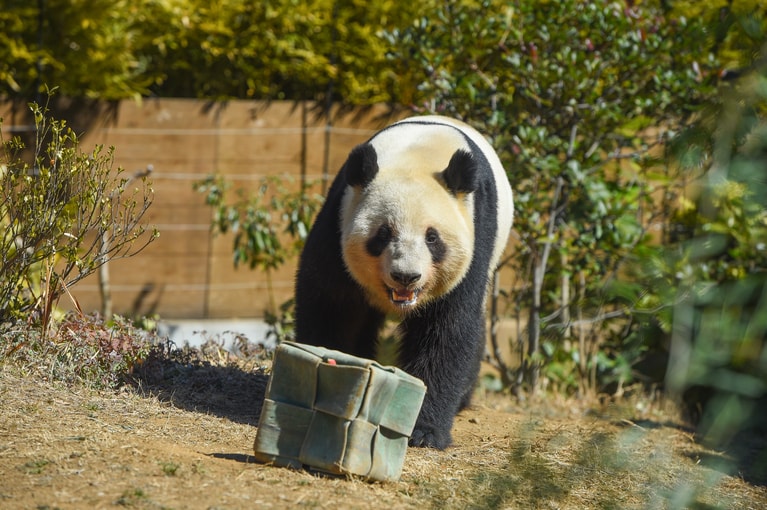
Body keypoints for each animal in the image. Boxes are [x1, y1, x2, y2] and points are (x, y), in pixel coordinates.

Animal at [296, 115, 512, 450]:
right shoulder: (339, 219)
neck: (417, 156)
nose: (406, 277)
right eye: (383, 234)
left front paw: (423, 431)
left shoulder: (475, 237)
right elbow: (335, 307)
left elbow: (447, 329)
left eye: (432, 238)